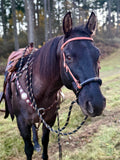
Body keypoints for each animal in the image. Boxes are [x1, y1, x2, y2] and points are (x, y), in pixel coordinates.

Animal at [0, 12, 106, 160]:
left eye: (98, 54)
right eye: (68, 56)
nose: (96, 104)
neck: (39, 92)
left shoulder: (49, 120)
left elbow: (45, 142)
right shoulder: (22, 123)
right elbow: (28, 149)